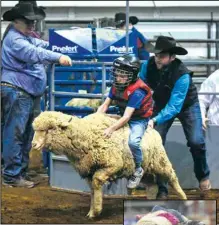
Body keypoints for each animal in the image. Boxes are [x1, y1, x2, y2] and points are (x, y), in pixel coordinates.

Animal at [31, 111, 187, 219]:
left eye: (49, 129)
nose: (33, 144)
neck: (87, 135)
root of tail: (152, 129)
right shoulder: (89, 171)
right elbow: (92, 189)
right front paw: (91, 211)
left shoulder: (112, 165)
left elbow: (97, 182)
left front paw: (96, 211)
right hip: (145, 169)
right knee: (152, 186)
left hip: (160, 161)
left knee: (172, 177)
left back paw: (184, 197)